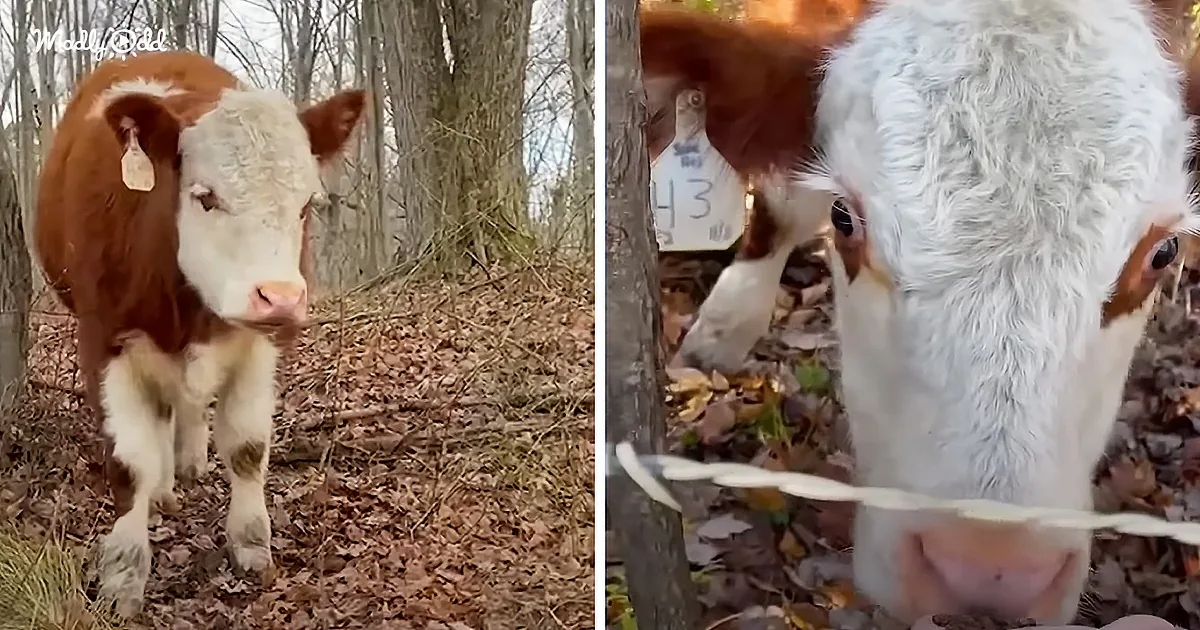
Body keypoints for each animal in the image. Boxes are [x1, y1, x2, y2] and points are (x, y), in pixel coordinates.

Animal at [33, 51, 365, 616]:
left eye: (305, 205)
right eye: (206, 198)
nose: (279, 297)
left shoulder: (259, 346)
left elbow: (248, 448)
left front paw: (251, 545)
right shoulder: (104, 341)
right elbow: (129, 464)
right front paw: (123, 574)